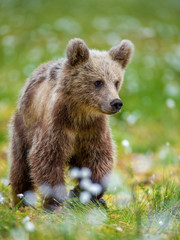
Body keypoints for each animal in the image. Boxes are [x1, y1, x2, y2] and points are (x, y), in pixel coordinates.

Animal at [9, 37, 133, 210]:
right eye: (98, 82)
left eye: (116, 81)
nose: (116, 102)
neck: (79, 115)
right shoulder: (57, 127)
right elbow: (47, 159)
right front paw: (55, 202)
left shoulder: (93, 130)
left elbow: (100, 158)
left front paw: (84, 193)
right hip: (23, 130)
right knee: (20, 167)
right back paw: (21, 202)